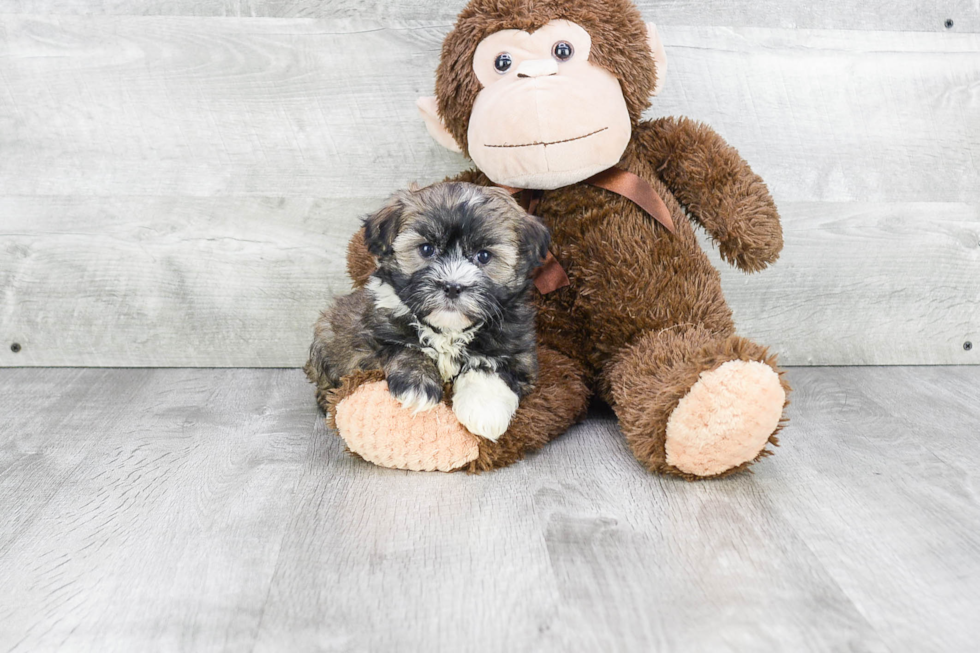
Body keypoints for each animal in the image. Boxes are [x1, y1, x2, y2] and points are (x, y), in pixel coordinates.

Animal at [306, 181, 552, 440]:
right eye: (426, 249)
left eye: (483, 256)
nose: (452, 286)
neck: (449, 330)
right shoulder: (375, 333)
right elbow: (406, 348)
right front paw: (417, 385)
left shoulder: (517, 352)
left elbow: (489, 368)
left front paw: (484, 411)